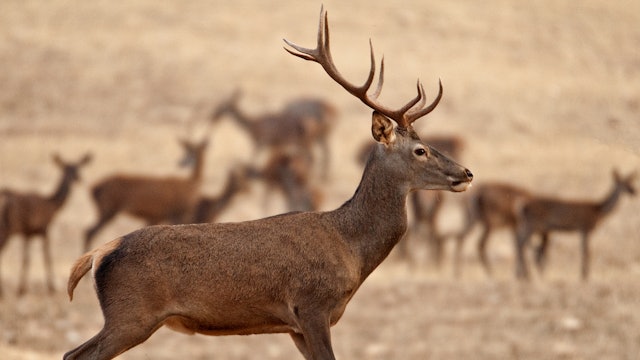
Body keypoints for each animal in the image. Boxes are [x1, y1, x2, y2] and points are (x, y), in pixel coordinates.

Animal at [0, 153, 91, 296]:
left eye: (77, 167)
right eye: (67, 169)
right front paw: (51, 287)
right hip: (7, 228)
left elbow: (26, 259)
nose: (78, 178)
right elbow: (47, 257)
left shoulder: (28, 233)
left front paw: (21, 289)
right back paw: (3, 291)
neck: (51, 205)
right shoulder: (44, 228)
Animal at [211, 90, 340, 179]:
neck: (252, 124)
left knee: (314, 156)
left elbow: (252, 159)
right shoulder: (273, 145)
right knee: (316, 156)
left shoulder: (261, 142)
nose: (213, 117)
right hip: (310, 141)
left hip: (305, 141)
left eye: (222, 106)